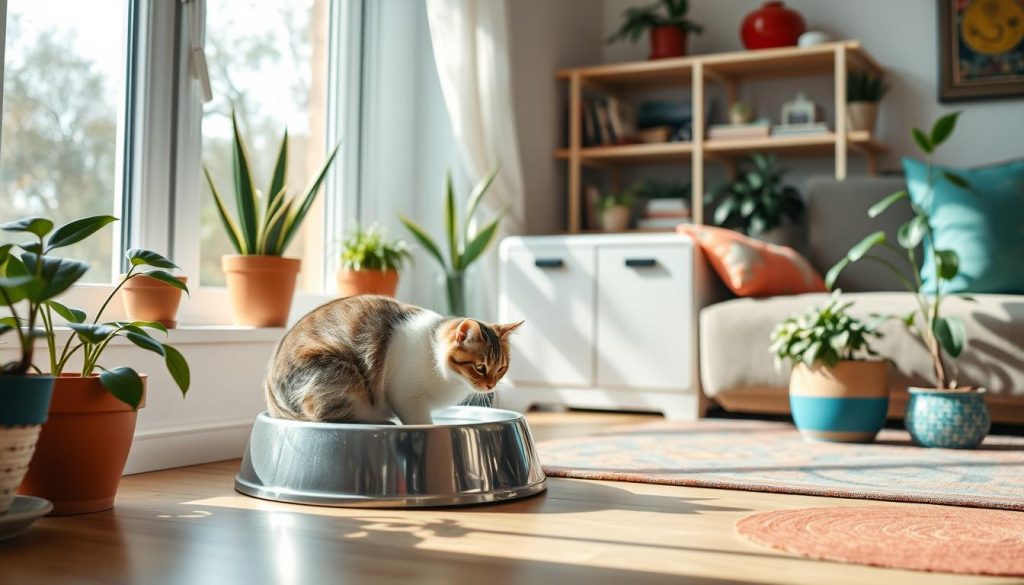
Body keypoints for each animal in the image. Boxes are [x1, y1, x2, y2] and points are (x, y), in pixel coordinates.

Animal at [264, 295, 524, 424]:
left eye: (501, 368)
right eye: (480, 367)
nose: (491, 386)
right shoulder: (406, 398)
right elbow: (421, 424)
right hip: (340, 372)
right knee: (326, 415)